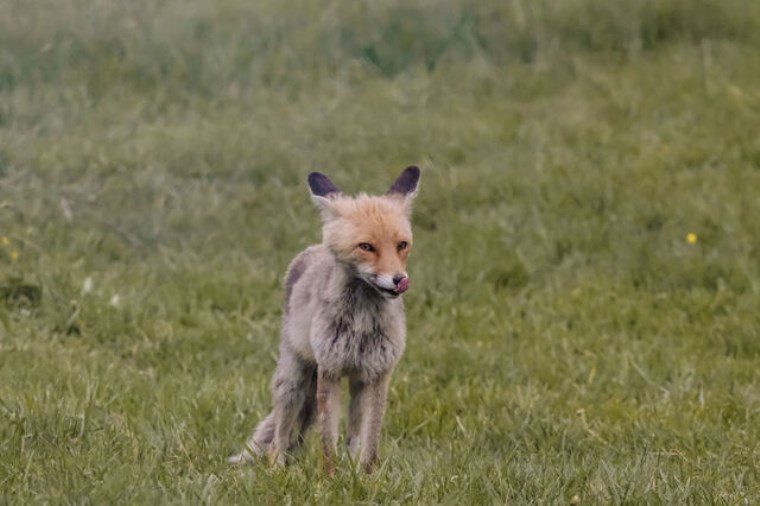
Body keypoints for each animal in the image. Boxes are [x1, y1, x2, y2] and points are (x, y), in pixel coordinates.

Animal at [229, 166, 422, 474]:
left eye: (401, 245)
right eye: (366, 247)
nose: (399, 280)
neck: (361, 323)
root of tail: (313, 248)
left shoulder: (377, 375)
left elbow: (368, 445)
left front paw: (364, 479)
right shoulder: (329, 371)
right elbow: (327, 444)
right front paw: (329, 479)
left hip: (352, 386)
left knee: (347, 436)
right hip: (294, 383)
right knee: (278, 439)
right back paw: (276, 472)